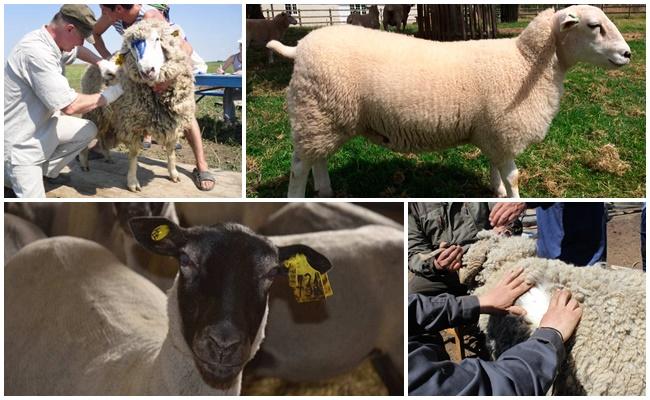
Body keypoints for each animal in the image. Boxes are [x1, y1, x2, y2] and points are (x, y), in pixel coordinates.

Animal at [80, 19, 195, 192]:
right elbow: (134, 154)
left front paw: (173, 173)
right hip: (95, 112)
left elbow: (170, 150)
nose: (147, 70)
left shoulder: (173, 121)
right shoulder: (133, 122)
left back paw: (108, 157)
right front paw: (133, 182)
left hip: (110, 117)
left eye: (157, 39)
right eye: (132, 46)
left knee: (102, 137)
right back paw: (84, 162)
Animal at [266, 5, 631, 198]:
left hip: (324, 116)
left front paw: (498, 194)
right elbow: (513, 175)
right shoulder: (505, 130)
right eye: (594, 26)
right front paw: (513, 198)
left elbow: (496, 168)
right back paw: (300, 198)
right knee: (299, 166)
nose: (627, 54)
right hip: (318, 112)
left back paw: (325, 192)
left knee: (317, 159)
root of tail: (299, 48)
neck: (526, 63)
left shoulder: (493, 131)